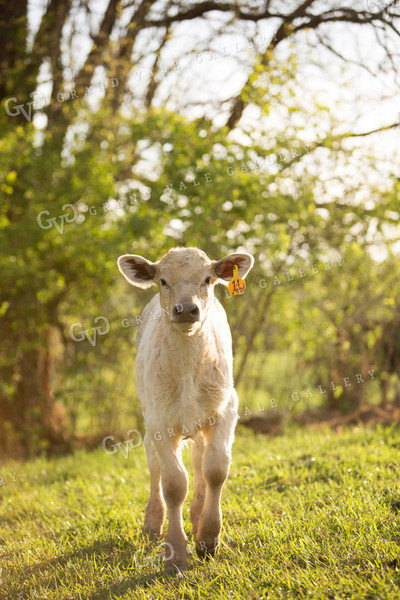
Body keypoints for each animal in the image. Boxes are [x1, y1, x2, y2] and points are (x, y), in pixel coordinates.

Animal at [117, 247, 253, 572]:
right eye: (163, 280)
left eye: (207, 279)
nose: (187, 309)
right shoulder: (159, 421)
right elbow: (174, 483)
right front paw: (176, 552)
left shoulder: (226, 410)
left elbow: (215, 469)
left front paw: (208, 538)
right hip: (149, 415)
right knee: (154, 465)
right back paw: (153, 522)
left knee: (200, 460)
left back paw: (197, 514)